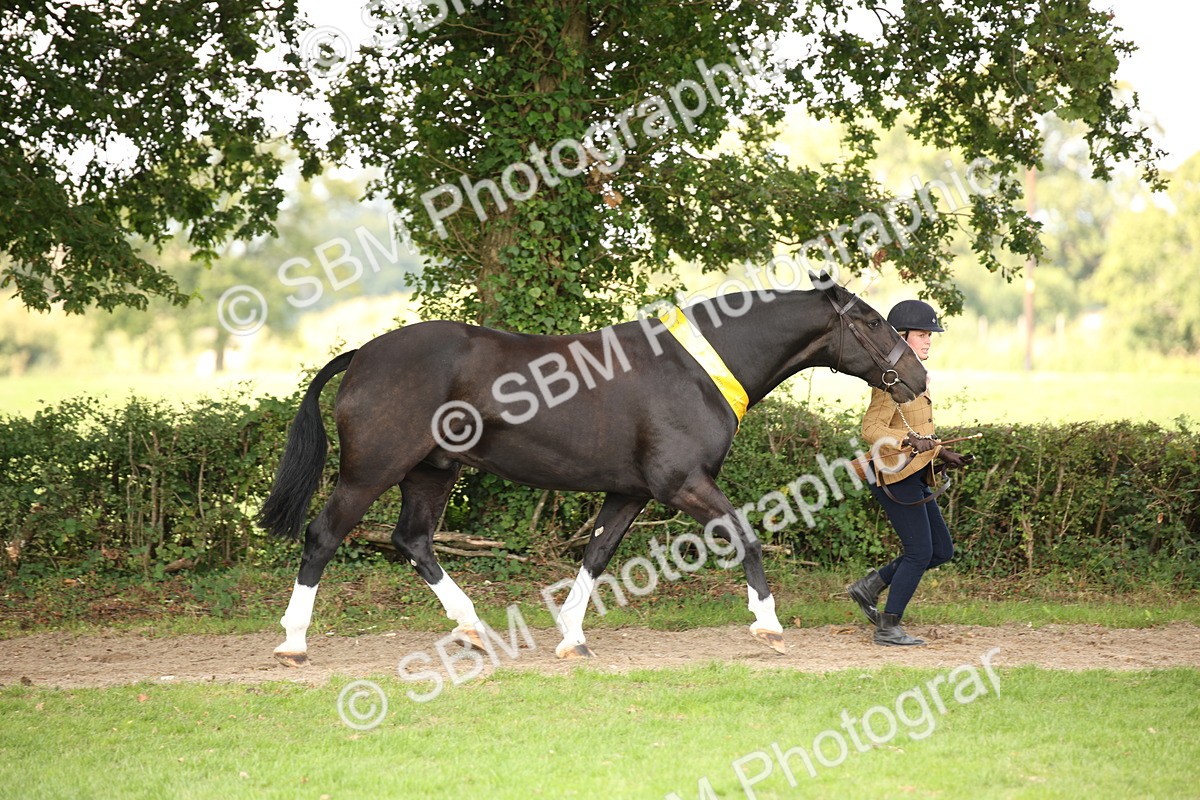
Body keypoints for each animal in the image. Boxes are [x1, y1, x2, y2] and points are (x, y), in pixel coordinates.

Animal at [259, 276, 926, 665]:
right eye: (870, 321)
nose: (917, 376)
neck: (697, 369)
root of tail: (363, 355)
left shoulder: (628, 494)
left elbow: (596, 558)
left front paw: (571, 638)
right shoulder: (682, 483)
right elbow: (745, 536)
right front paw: (768, 624)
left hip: (431, 472)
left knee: (413, 541)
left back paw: (473, 629)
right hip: (370, 471)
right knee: (323, 536)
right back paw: (293, 642)